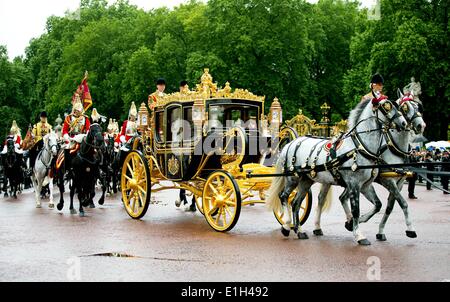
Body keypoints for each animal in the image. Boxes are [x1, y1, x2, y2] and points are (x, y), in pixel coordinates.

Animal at [268, 97, 408, 245]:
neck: (360, 146)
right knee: (284, 196)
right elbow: (356, 210)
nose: (403, 123)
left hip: (306, 180)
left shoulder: (365, 185)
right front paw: (359, 235)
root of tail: (291, 143)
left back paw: (300, 231)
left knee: (295, 203)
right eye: (386, 106)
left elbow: (378, 205)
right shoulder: (354, 184)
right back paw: (286, 226)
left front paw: (352, 224)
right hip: (292, 178)